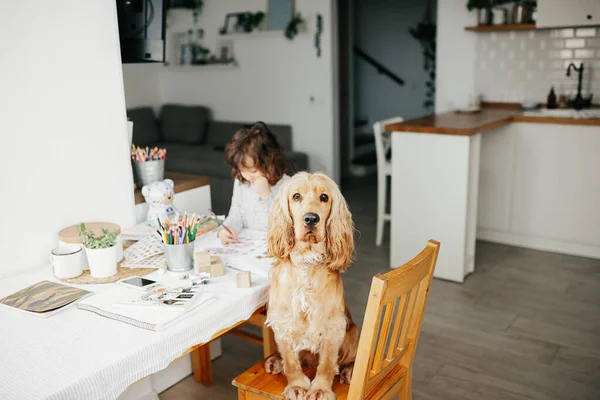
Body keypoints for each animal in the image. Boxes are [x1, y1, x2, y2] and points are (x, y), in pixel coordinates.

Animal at [264, 172, 358, 400]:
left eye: (324, 197)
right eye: (296, 196)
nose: (311, 219)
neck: (306, 263)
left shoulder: (333, 326)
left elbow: (326, 364)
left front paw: (320, 389)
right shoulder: (283, 322)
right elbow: (291, 361)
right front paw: (297, 385)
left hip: (352, 333)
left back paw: (349, 371)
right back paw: (275, 361)